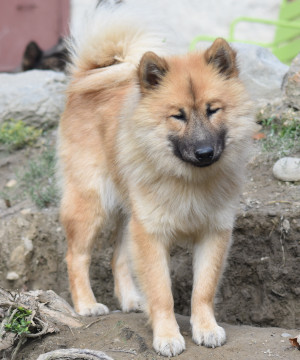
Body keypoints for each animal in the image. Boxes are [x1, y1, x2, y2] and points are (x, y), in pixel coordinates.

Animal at [57, 2, 256, 358]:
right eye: (178, 115)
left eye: (213, 110)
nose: (204, 152)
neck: (190, 180)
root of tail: (87, 78)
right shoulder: (151, 234)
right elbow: (162, 292)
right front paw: (166, 335)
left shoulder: (213, 232)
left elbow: (202, 290)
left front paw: (206, 328)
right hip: (91, 204)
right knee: (76, 256)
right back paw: (87, 305)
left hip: (128, 213)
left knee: (118, 257)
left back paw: (131, 300)